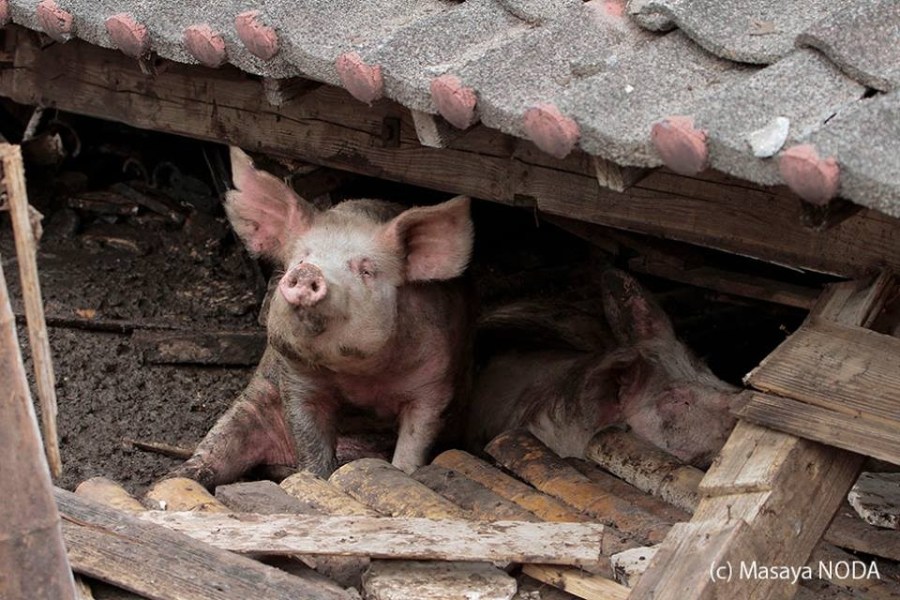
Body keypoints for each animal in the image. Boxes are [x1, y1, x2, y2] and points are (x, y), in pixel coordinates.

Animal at [171, 146, 474, 488]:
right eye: (300, 258)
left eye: (366, 270)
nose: (308, 272)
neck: (361, 379)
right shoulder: (296, 378)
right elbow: (311, 443)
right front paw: (318, 474)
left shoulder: (436, 383)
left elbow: (415, 439)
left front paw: (404, 471)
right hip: (250, 407)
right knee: (218, 447)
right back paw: (176, 477)